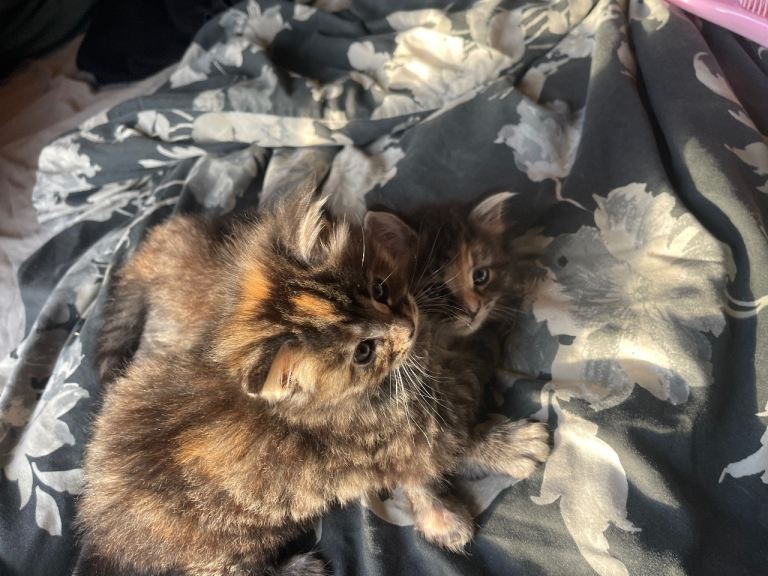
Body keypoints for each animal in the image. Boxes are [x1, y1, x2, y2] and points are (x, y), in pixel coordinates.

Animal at [78, 188, 550, 575]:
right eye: (363, 352)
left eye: (481, 276)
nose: (408, 324)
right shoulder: (390, 440)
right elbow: (435, 457)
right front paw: (481, 479)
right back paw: (299, 568)